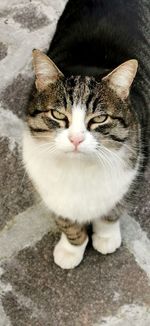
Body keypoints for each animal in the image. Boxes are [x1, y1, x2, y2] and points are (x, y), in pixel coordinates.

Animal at [22, 0, 148, 268]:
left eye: (99, 118)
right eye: (58, 114)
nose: (76, 138)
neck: (77, 170)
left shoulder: (132, 173)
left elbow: (112, 212)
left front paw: (106, 237)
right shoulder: (49, 190)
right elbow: (67, 223)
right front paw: (71, 249)